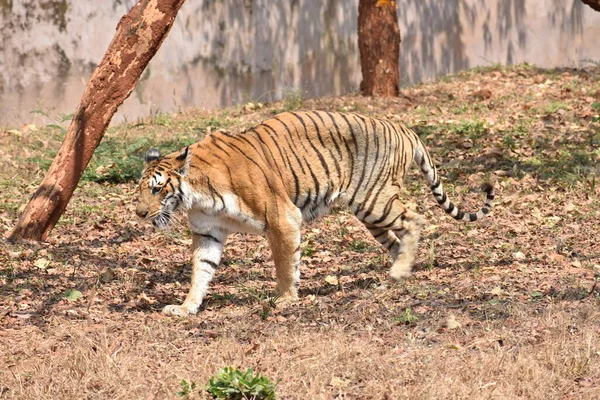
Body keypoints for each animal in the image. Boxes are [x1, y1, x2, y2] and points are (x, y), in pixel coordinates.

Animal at [136, 109, 492, 316]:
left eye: (157, 189)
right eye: (139, 189)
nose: (140, 214)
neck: (196, 194)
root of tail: (403, 127)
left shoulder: (282, 218)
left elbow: (284, 263)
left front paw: (285, 299)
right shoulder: (207, 232)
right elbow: (202, 271)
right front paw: (186, 308)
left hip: (374, 200)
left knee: (416, 218)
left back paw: (401, 271)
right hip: (371, 213)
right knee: (397, 238)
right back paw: (395, 275)